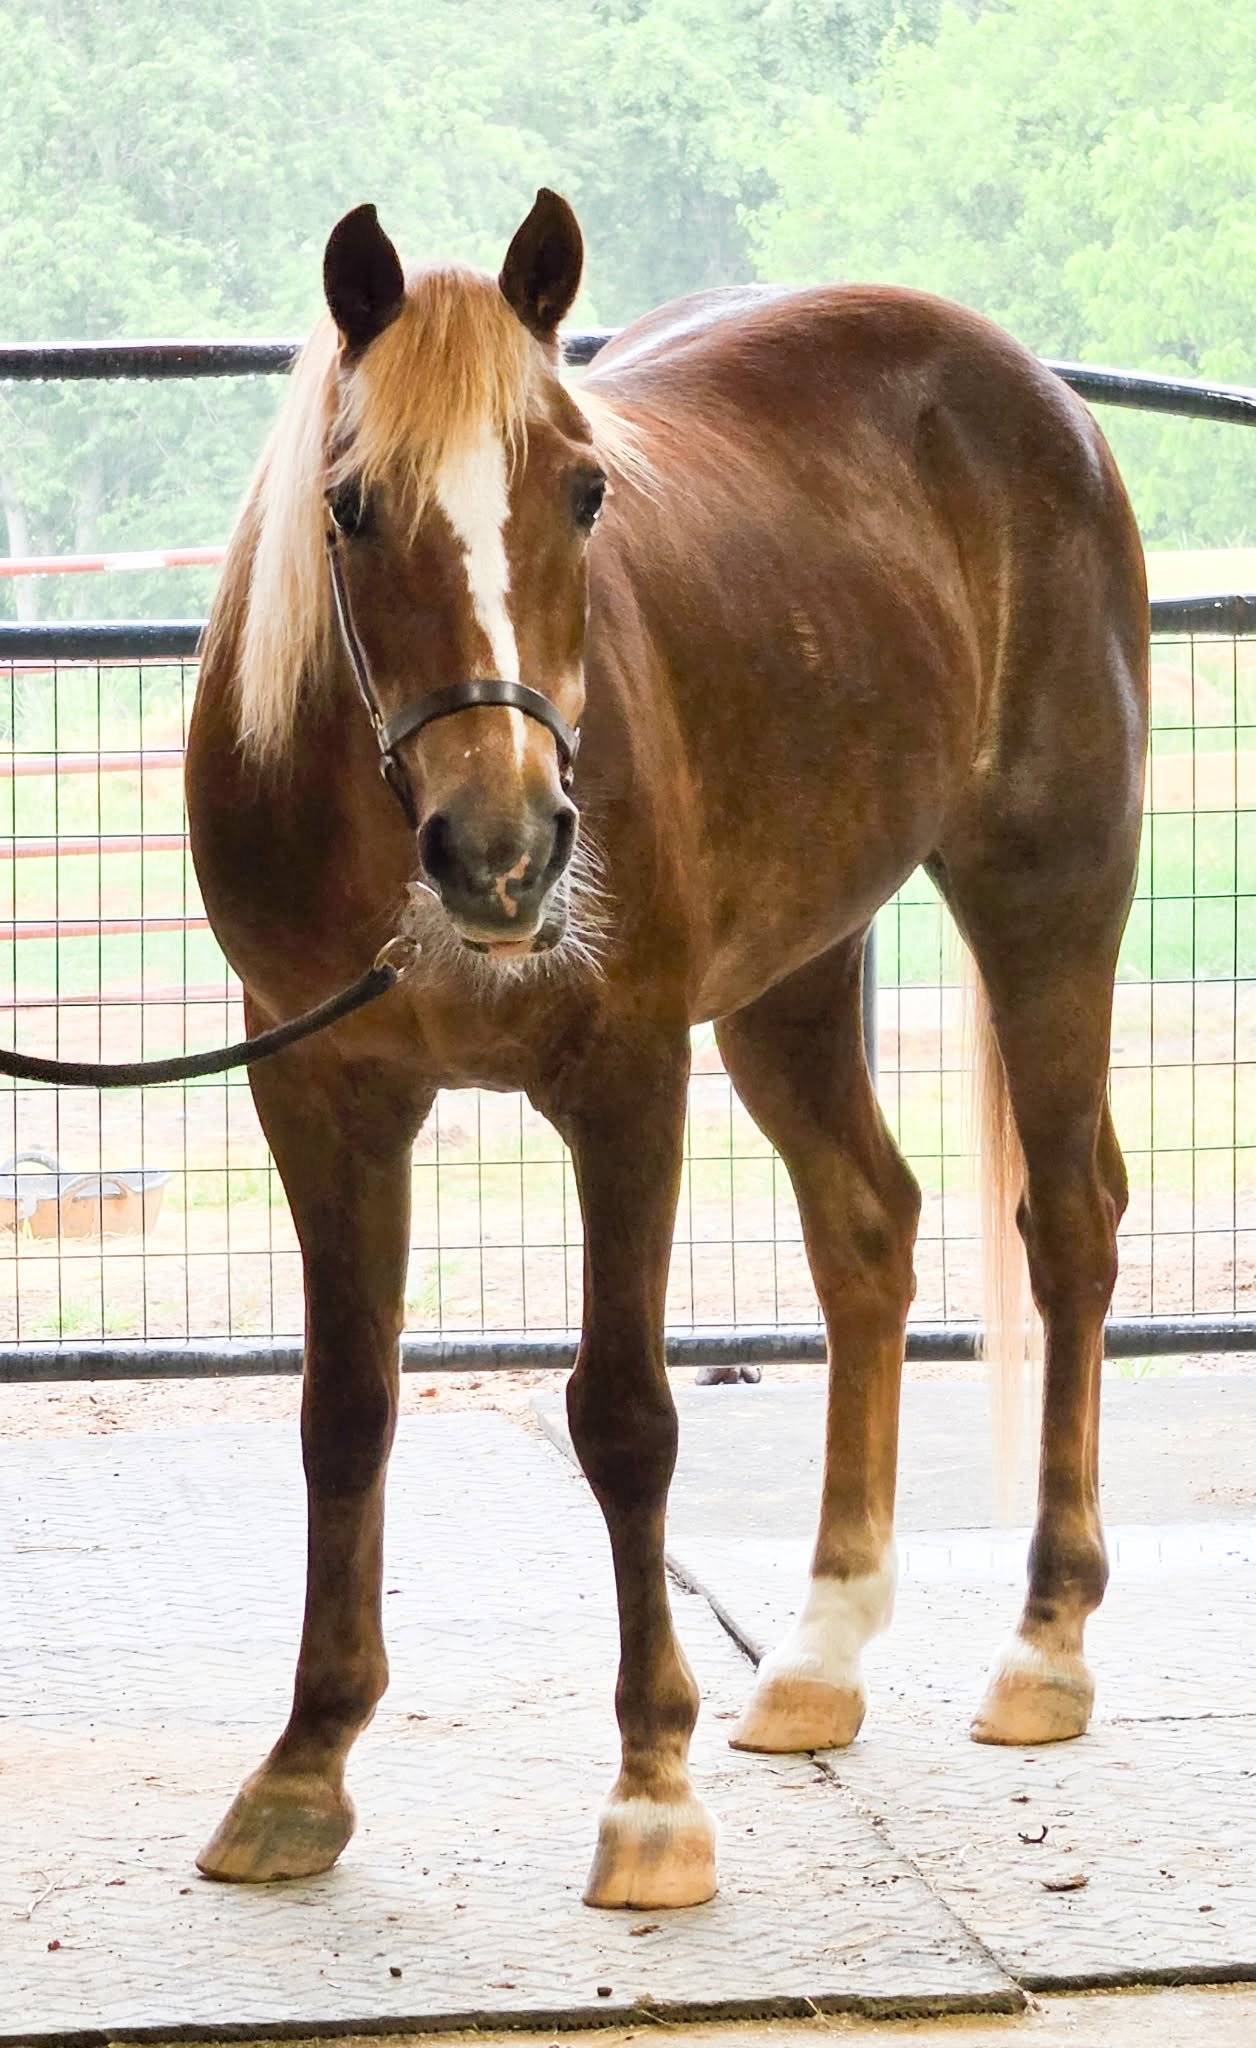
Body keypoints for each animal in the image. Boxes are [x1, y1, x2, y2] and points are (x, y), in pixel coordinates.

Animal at [185, 190, 1148, 1910]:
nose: (502, 853)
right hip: (791, 978)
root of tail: (1042, 403)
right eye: (351, 507)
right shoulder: (319, 1088)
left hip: (1050, 897)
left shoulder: (626, 1078)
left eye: (584, 489)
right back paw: (823, 1649)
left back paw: (1046, 1644)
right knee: (867, 1232)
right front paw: (305, 1766)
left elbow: (626, 1417)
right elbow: (345, 1409)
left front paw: (651, 1793)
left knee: (1070, 1229)